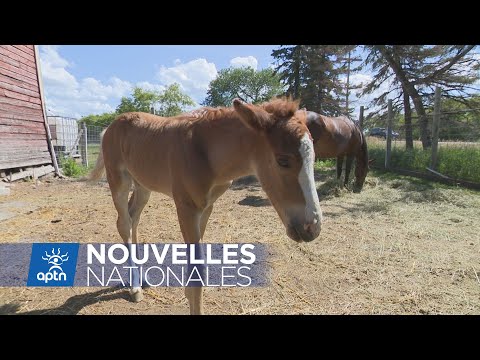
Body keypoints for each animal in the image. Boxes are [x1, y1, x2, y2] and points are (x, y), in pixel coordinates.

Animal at [90, 97, 322, 314]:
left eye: (314, 158)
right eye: (283, 160)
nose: (312, 228)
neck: (205, 152)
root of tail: (109, 127)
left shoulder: (207, 206)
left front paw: (187, 291)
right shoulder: (186, 207)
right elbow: (198, 266)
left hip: (143, 184)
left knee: (134, 218)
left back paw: (141, 278)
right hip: (119, 180)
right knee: (124, 223)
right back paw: (135, 287)